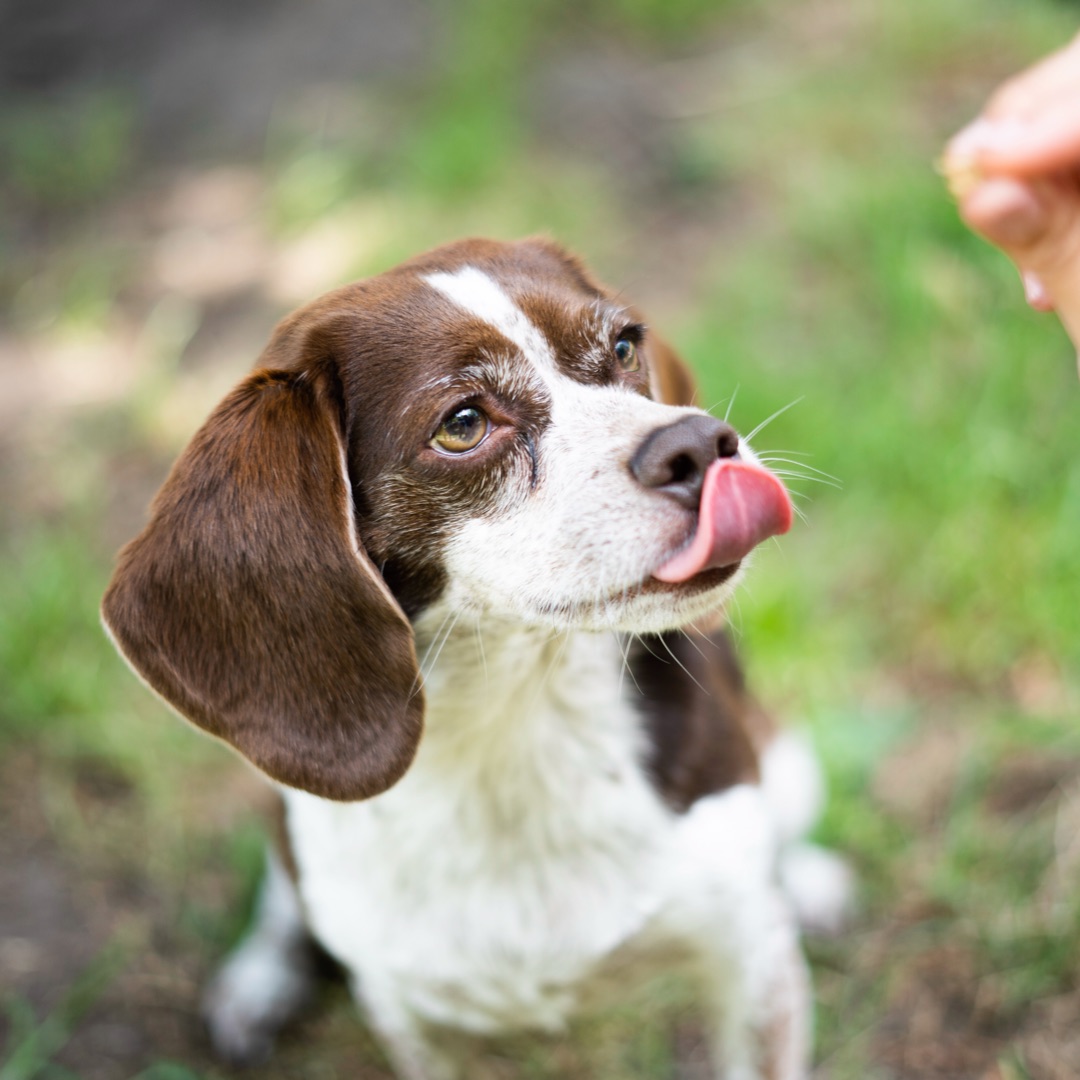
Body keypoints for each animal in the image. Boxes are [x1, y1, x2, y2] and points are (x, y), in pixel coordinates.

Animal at [101, 238, 846, 1080]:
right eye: (462, 424)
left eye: (626, 345)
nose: (697, 441)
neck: (517, 724)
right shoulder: (412, 1022)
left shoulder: (752, 967)